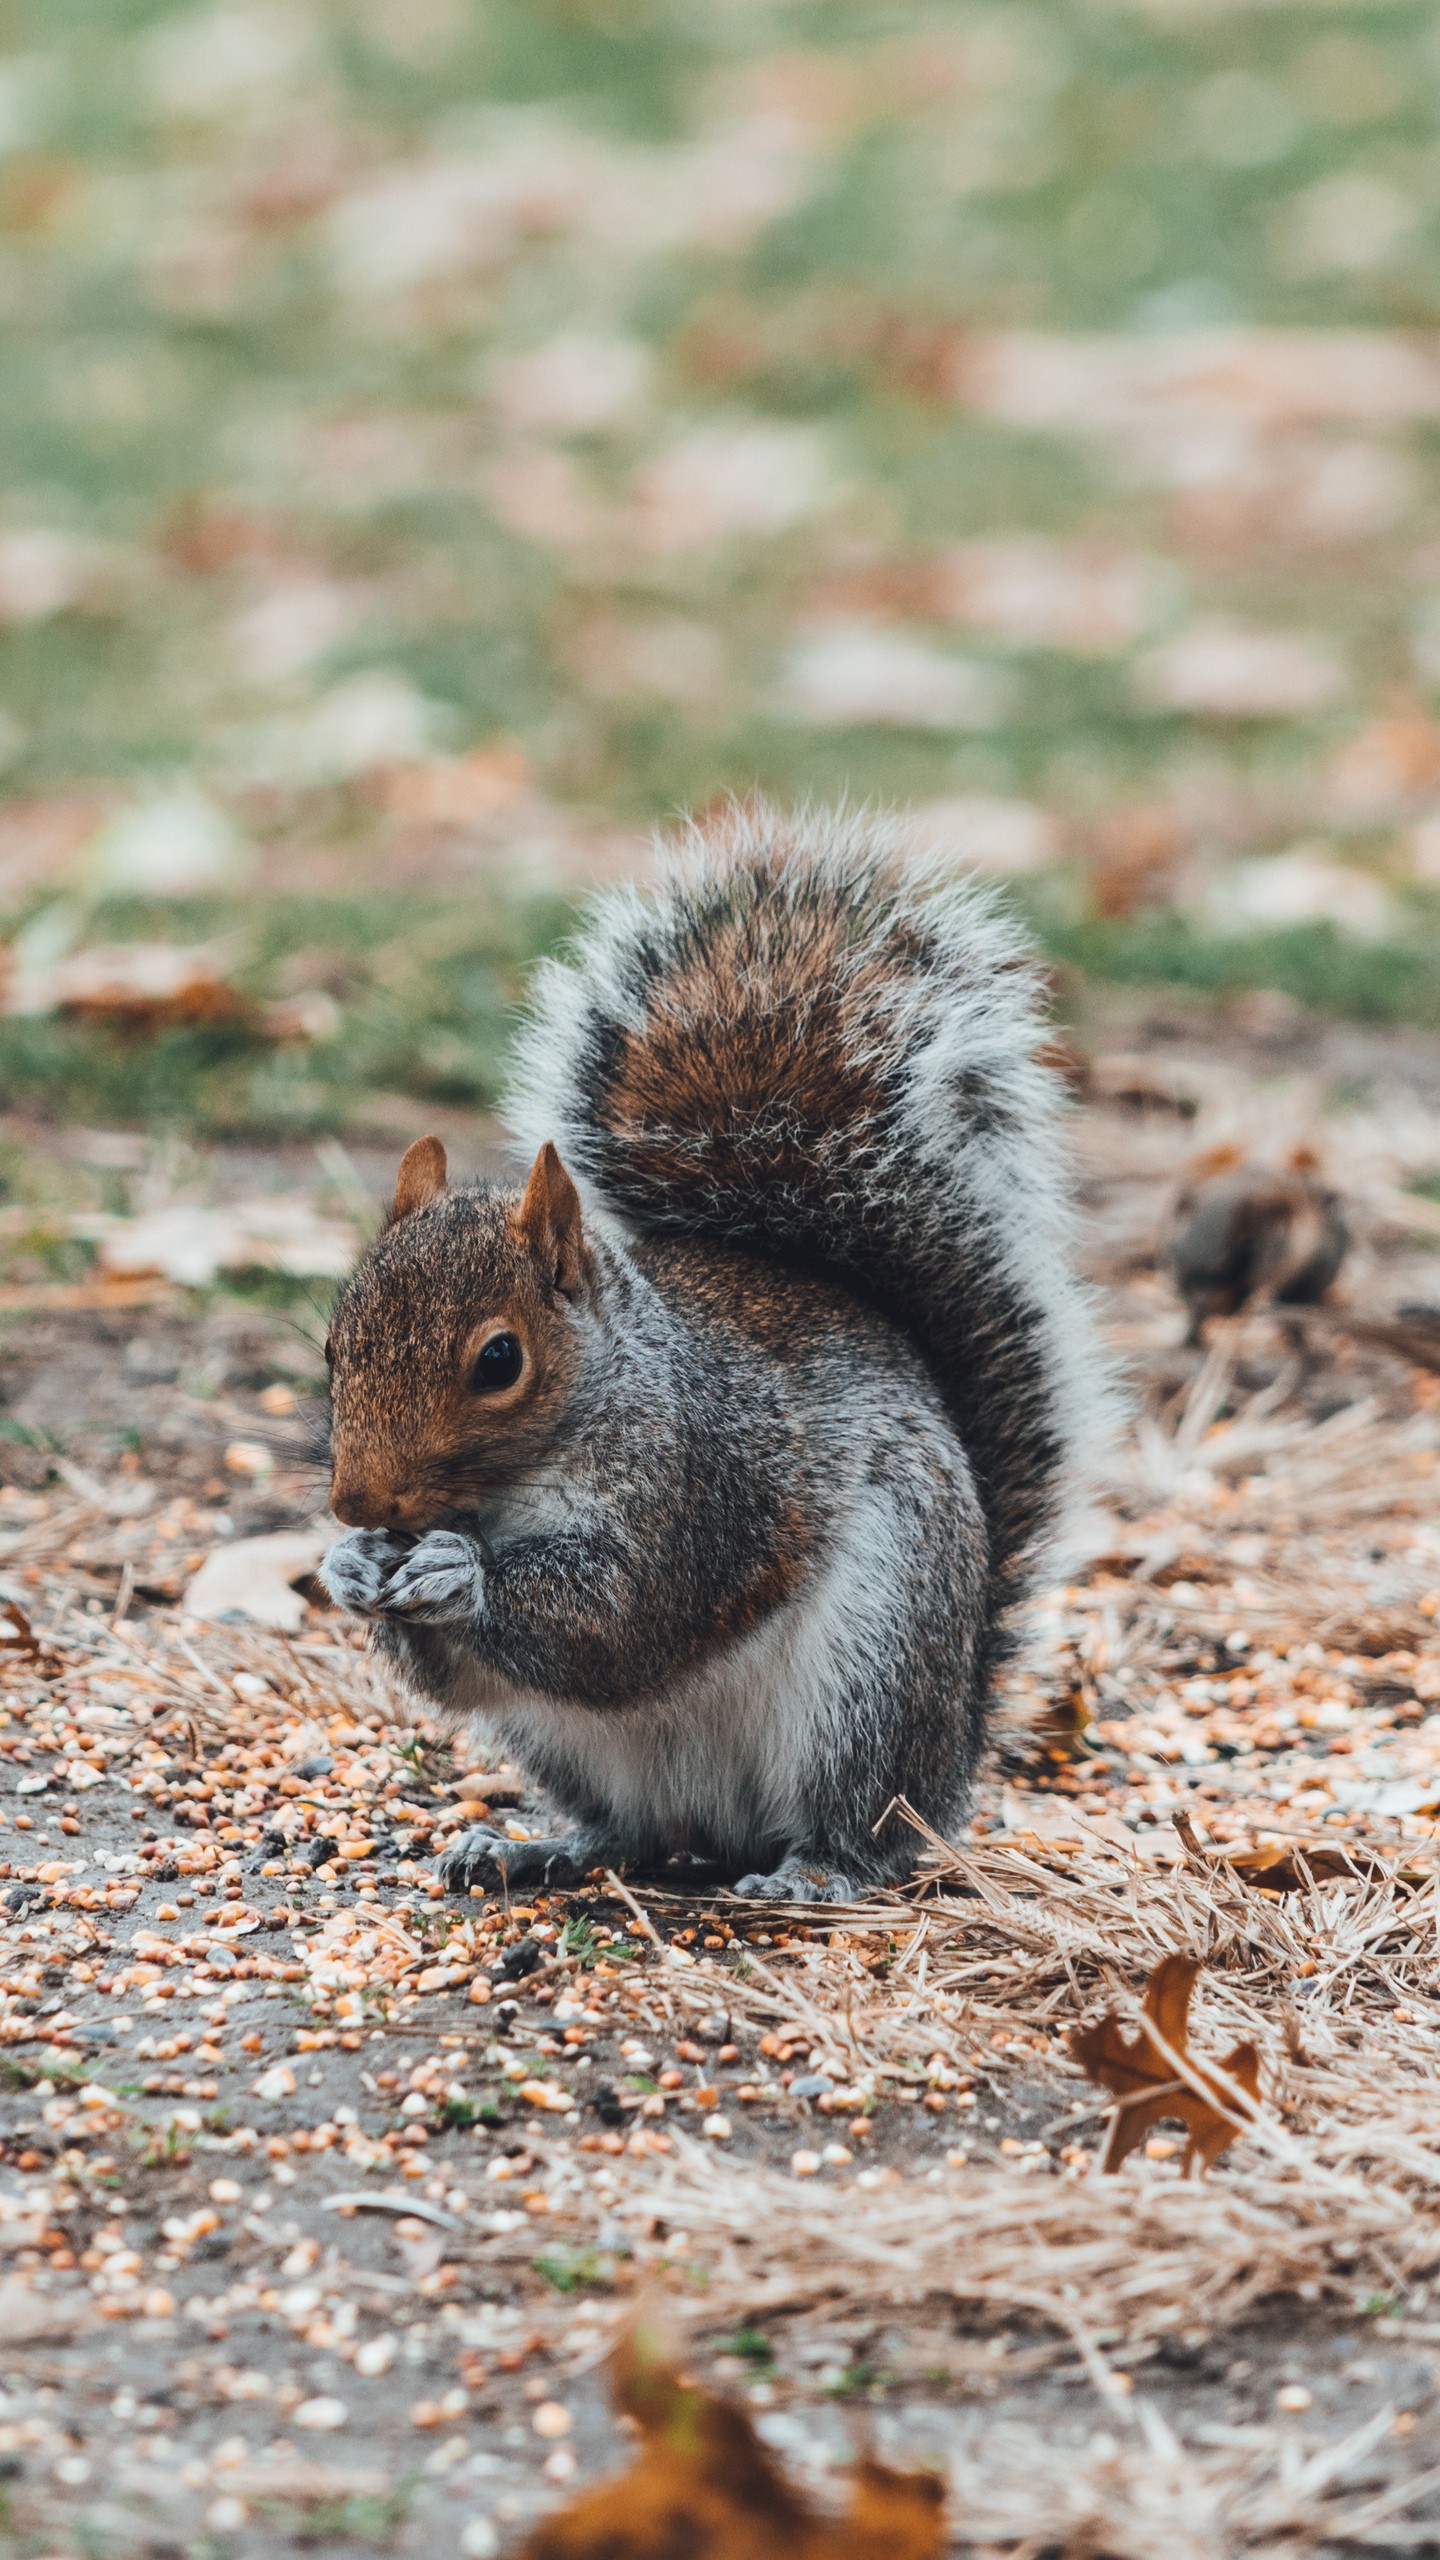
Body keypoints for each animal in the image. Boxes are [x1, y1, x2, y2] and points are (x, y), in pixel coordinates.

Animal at [316, 798, 1096, 1904]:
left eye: (499, 1361)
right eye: (333, 1345)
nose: (357, 1505)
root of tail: (949, 1760)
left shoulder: (701, 1487)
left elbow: (620, 1616)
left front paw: (459, 1573)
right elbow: (457, 1671)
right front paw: (348, 1568)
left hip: (870, 1670)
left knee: (860, 1822)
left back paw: (817, 1871)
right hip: (567, 1744)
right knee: (634, 1832)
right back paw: (533, 1847)